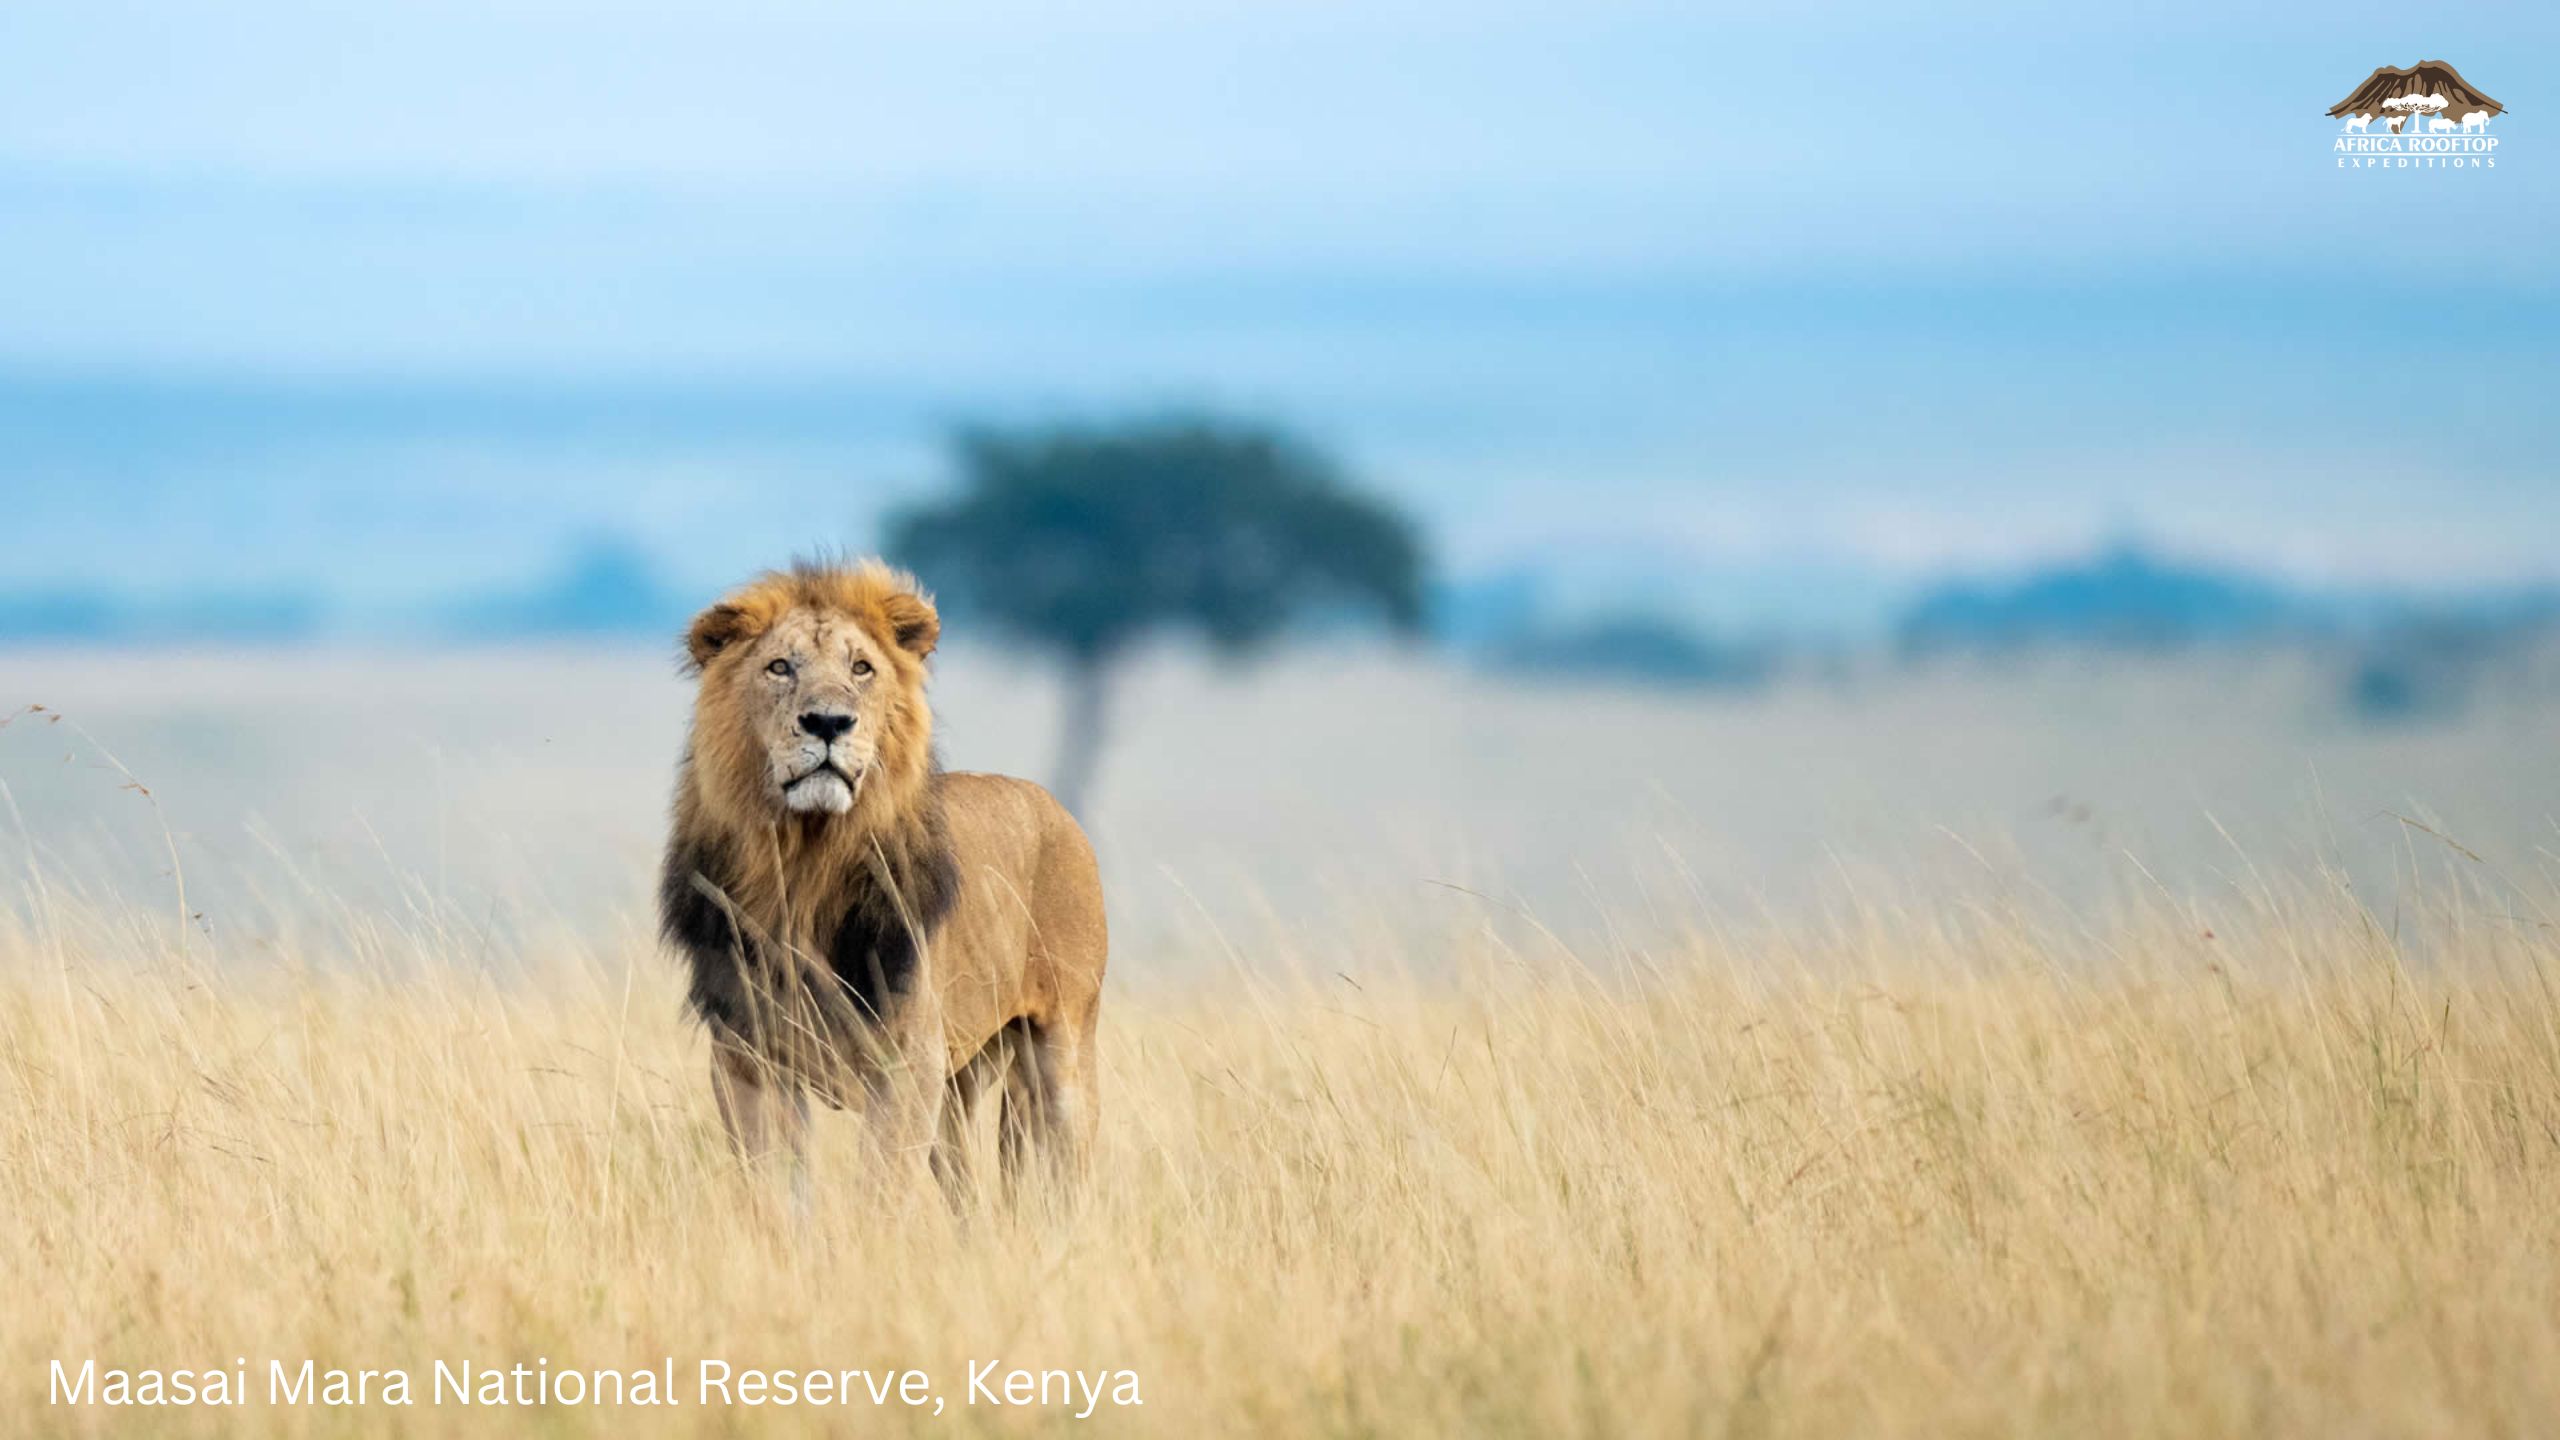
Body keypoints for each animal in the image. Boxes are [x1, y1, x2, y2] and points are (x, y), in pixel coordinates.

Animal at [655, 556, 1105, 1204]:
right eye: (779, 666)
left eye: (861, 668)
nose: (827, 722)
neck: (806, 867)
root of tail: (1056, 807)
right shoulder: (747, 1060)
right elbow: (777, 1193)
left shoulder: (906, 1061)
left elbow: (880, 1189)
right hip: (958, 1090)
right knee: (971, 1197)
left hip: (1061, 1049)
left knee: (1068, 1170)